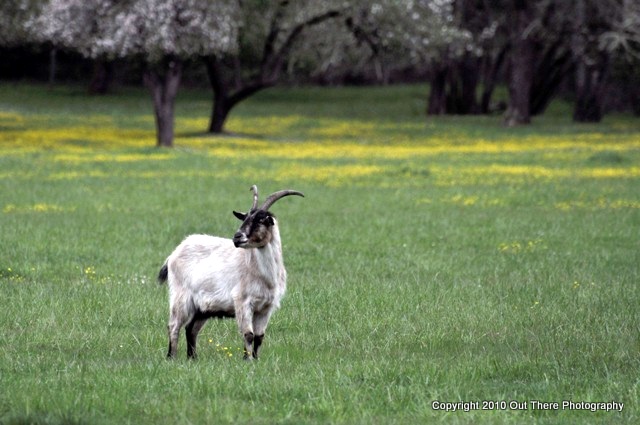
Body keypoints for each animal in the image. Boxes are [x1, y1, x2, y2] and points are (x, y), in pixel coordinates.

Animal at [158, 185, 304, 360]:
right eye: (244, 218)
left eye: (261, 220)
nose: (237, 237)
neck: (265, 275)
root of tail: (173, 254)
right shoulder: (242, 301)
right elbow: (248, 334)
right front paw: (247, 360)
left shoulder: (266, 308)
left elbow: (259, 337)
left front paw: (256, 359)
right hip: (181, 297)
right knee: (174, 326)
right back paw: (171, 357)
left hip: (202, 308)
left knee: (191, 328)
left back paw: (192, 358)